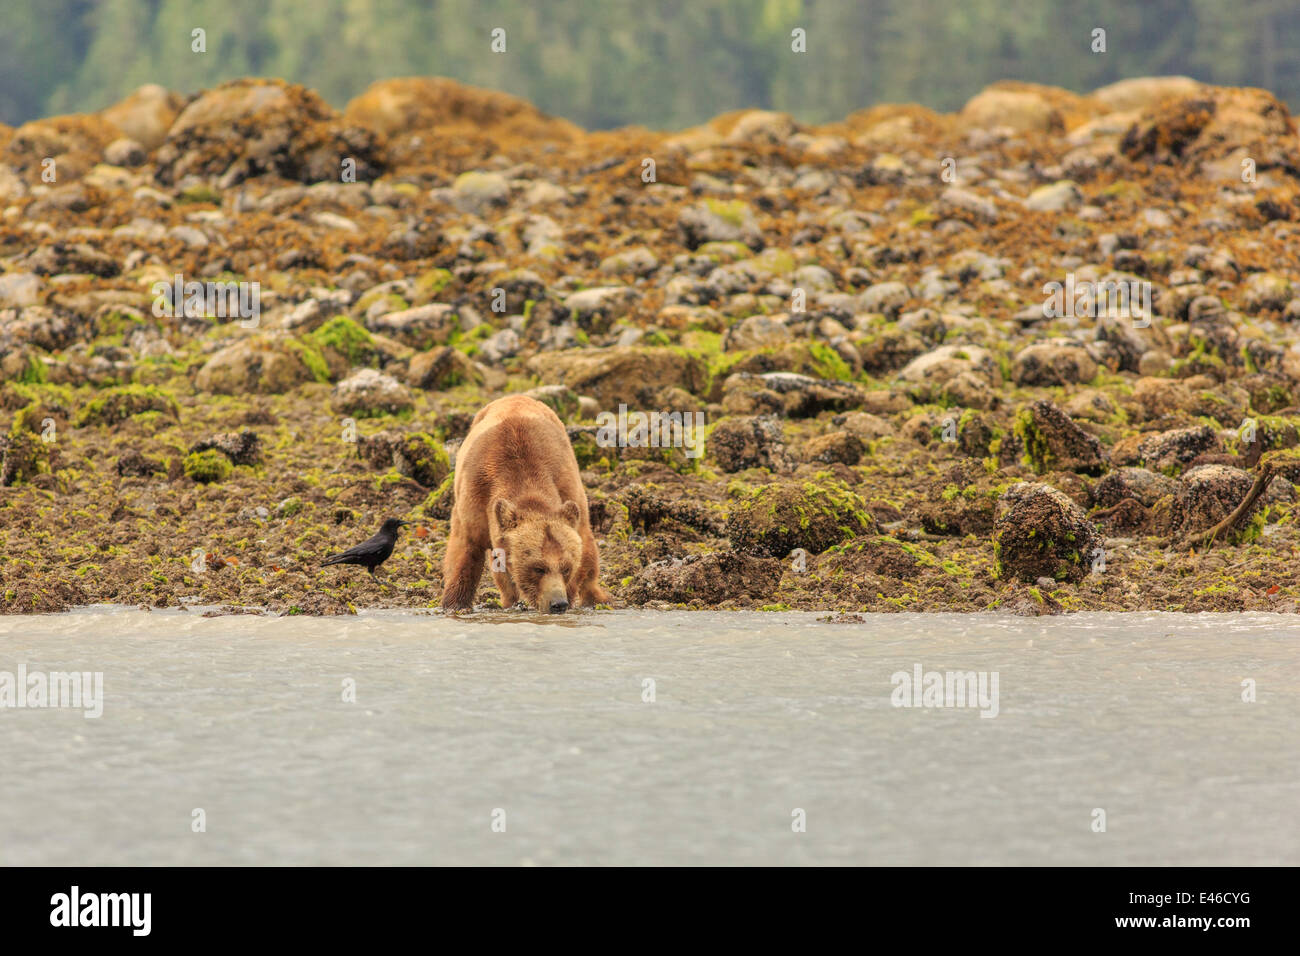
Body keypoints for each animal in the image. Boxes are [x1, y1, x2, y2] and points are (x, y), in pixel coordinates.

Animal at [439, 395, 611, 613]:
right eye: (538, 568)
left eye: (566, 568)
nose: (558, 603)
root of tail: (515, 396)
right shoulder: (475, 496)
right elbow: (464, 552)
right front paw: (455, 604)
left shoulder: (566, 487)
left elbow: (582, 553)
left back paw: (598, 599)